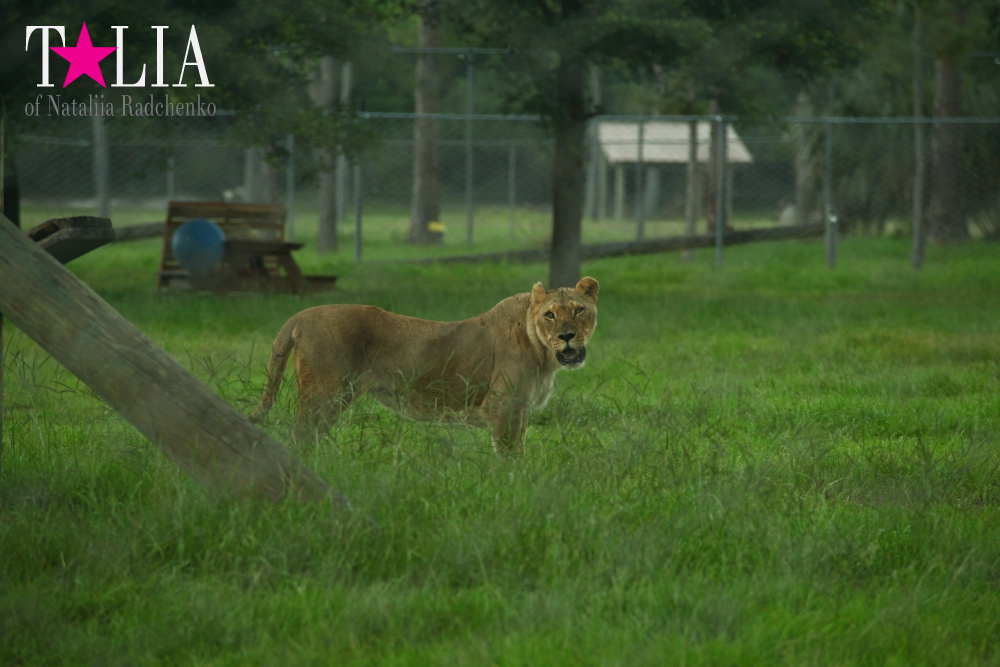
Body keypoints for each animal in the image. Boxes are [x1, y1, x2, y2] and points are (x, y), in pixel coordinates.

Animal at [249, 277, 599, 455]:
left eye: (579, 310)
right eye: (550, 315)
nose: (567, 336)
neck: (543, 352)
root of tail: (301, 315)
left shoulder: (519, 409)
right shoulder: (504, 406)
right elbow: (511, 456)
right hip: (322, 395)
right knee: (298, 438)